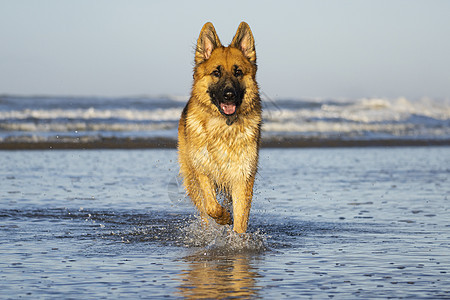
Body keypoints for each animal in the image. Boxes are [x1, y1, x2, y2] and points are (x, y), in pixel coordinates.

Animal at [178, 22, 262, 234]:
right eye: (216, 72)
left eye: (238, 72)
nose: (229, 95)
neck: (223, 127)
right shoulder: (202, 171)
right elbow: (211, 206)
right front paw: (223, 217)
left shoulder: (242, 178)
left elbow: (240, 219)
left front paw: (238, 238)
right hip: (191, 180)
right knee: (204, 211)